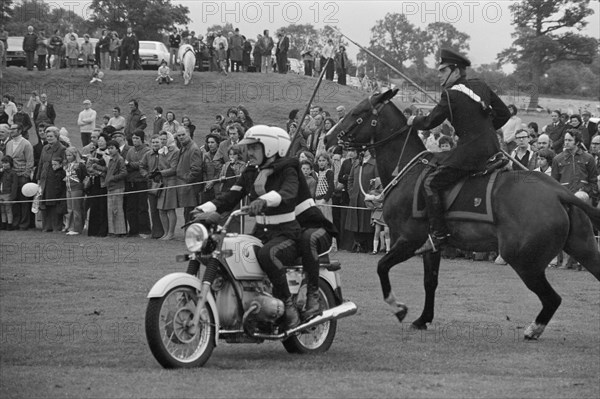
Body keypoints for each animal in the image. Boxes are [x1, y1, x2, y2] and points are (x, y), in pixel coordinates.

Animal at [326, 89, 600, 340]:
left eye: (358, 113)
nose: (328, 138)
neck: (407, 170)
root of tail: (557, 192)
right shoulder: (431, 245)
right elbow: (430, 282)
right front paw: (423, 319)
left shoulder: (408, 240)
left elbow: (382, 266)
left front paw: (398, 307)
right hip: (583, 248)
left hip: (524, 262)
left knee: (552, 298)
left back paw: (534, 329)